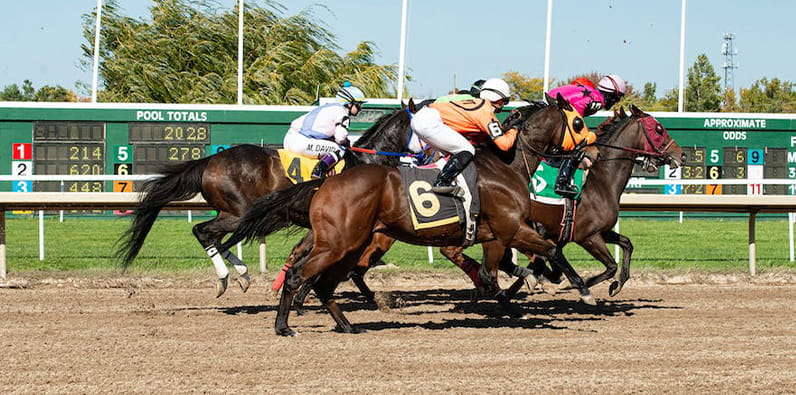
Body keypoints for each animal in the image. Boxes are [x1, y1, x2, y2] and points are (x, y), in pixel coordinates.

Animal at [115, 103, 422, 296]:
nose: (425, 156)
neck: (366, 162)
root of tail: (210, 160)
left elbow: (303, 254)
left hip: (232, 212)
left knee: (211, 235)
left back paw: (240, 275)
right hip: (240, 212)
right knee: (204, 232)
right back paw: (228, 276)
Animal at [221, 93, 600, 338]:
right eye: (579, 121)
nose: (594, 152)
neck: (506, 164)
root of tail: (326, 182)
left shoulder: (496, 235)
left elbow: (496, 273)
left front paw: (524, 293)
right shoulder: (510, 228)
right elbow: (551, 250)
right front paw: (583, 290)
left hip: (351, 245)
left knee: (325, 282)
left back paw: (346, 325)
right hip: (338, 243)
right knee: (301, 274)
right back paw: (284, 325)